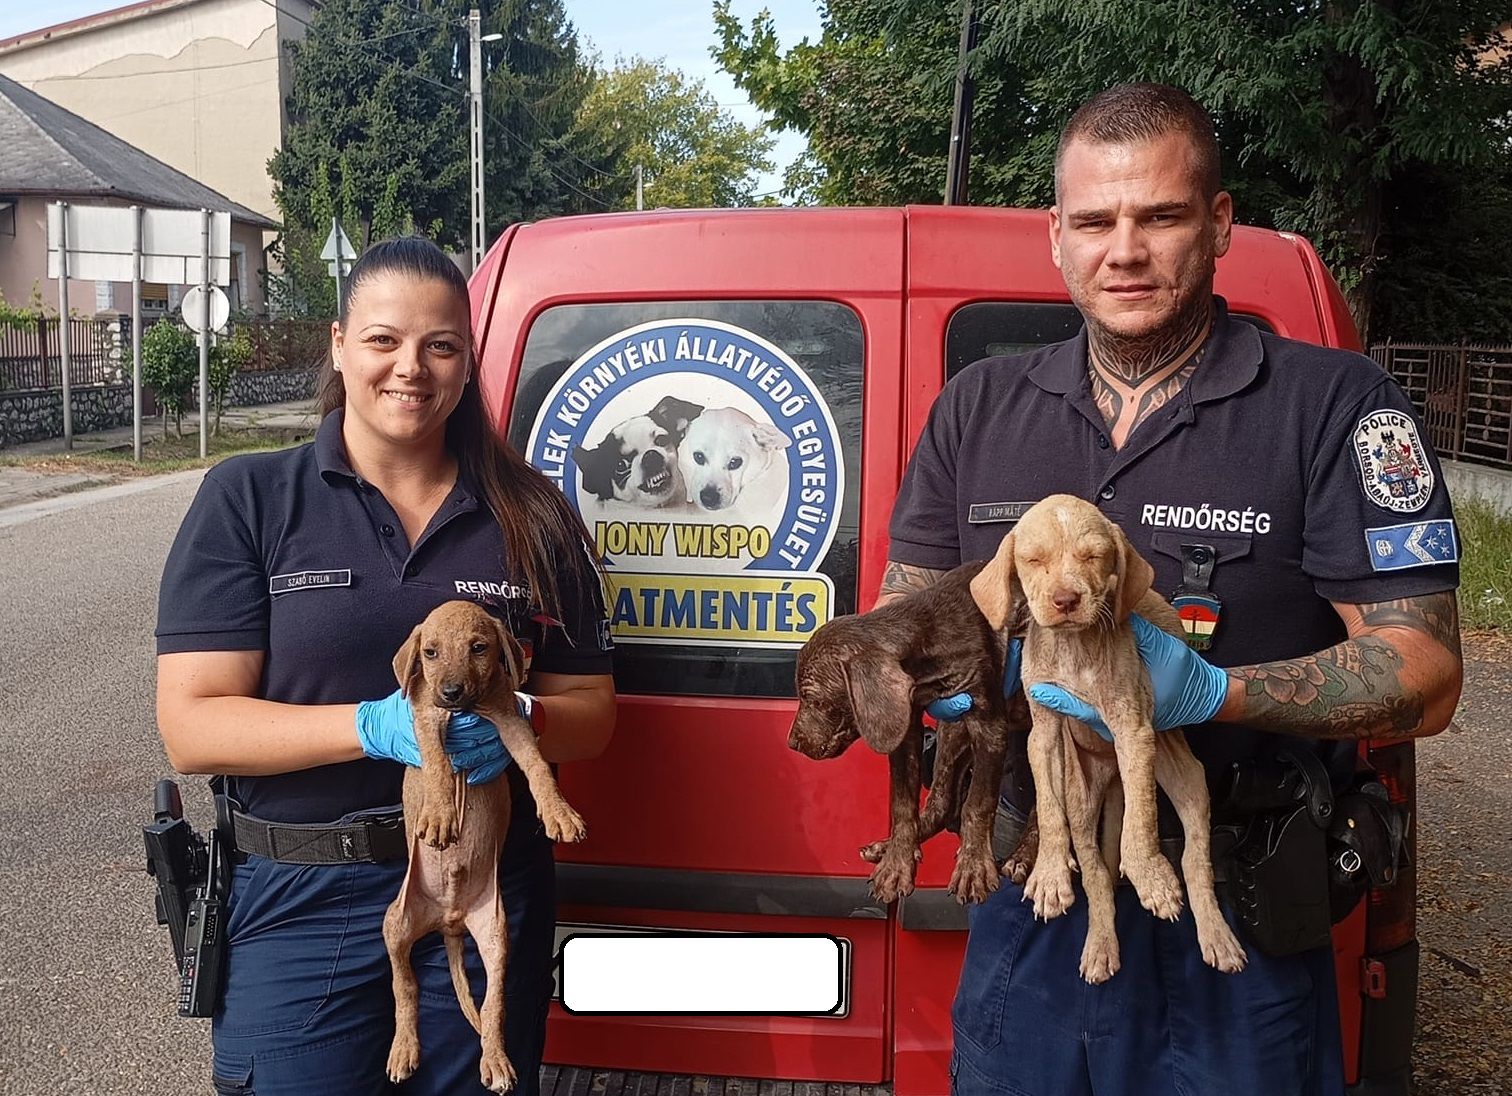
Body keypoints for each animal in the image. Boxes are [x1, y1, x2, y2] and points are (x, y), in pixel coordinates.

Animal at [381, 598, 586, 1094]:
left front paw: (558, 812)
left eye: (479, 648)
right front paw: (439, 814)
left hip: (497, 937)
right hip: (395, 923)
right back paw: (404, 1049)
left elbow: (536, 765)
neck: (467, 712)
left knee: (493, 1004)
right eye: (430, 652)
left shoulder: (509, 723)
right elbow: (437, 762)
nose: (452, 691)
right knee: (405, 987)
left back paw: (496, 1060)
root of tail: (450, 919)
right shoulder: (426, 716)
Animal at [786, 559, 1034, 900]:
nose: (792, 742)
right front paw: (896, 864)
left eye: (817, 701)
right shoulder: (906, 733)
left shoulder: (991, 727)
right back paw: (886, 846)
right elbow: (903, 806)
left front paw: (973, 867)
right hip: (952, 729)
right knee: (942, 804)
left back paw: (1025, 856)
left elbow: (978, 804)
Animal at [973, 495, 1245, 985]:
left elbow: (1143, 818)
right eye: (1034, 560)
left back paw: (1216, 935)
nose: (1065, 600)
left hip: (1186, 780)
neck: (1074, 650)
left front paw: (1150, 875)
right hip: (1080, 793)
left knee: (1194, 859)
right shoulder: (1043, 736)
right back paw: (1100, 946)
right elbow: (1048, 809)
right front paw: (1049, 874)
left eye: (1094, 557)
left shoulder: (1133, 733)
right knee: (1096, 873)